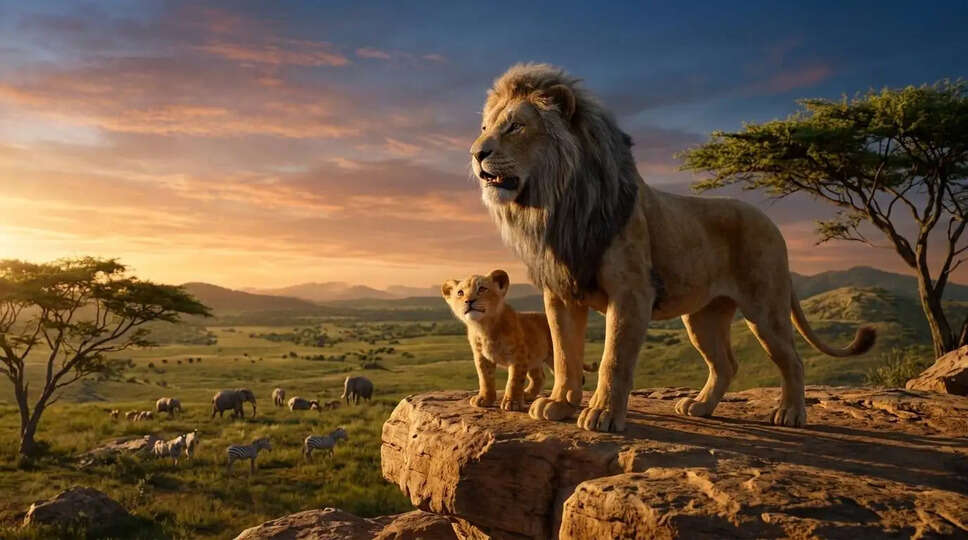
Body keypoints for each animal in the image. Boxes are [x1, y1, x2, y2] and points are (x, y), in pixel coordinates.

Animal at [442, 269, 596, 411]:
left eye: (482, 289)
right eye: (460, 293)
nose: (469, 301)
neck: (484, 327)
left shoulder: (518, 355)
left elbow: (514, 380)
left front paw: (512, 403)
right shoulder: (482, 357)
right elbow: (485, 378)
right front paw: (485, 399)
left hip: (554, 355)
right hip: (535, 358)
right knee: (539, 377)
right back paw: (528, 395)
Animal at [469, 63, 875, 432]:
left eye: (515, 126)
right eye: (485, 128)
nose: (476, 153)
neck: (559, 205)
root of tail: (770, 221)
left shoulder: (631, 292)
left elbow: (613, 358)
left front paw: (601, 415)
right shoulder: (561, 294)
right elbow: (566, 354)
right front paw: (559, 405)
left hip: (766, 308)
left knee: (792, 359)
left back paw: (790, 413)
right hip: (702, 317)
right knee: (726, 364)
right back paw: (700, 407)